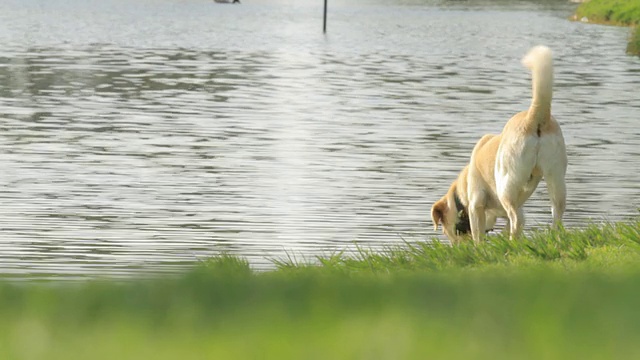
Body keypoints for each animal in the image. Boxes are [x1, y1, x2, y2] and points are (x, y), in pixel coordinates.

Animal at [430, 44, 564, 242]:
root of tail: (534, 116)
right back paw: (554, 237)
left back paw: (513, 243)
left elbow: (478, 234)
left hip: (506, 185)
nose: (456, 246)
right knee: (557, 213)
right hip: (556, 177)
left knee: (517, 219)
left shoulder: (476, 205)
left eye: (447, 231)